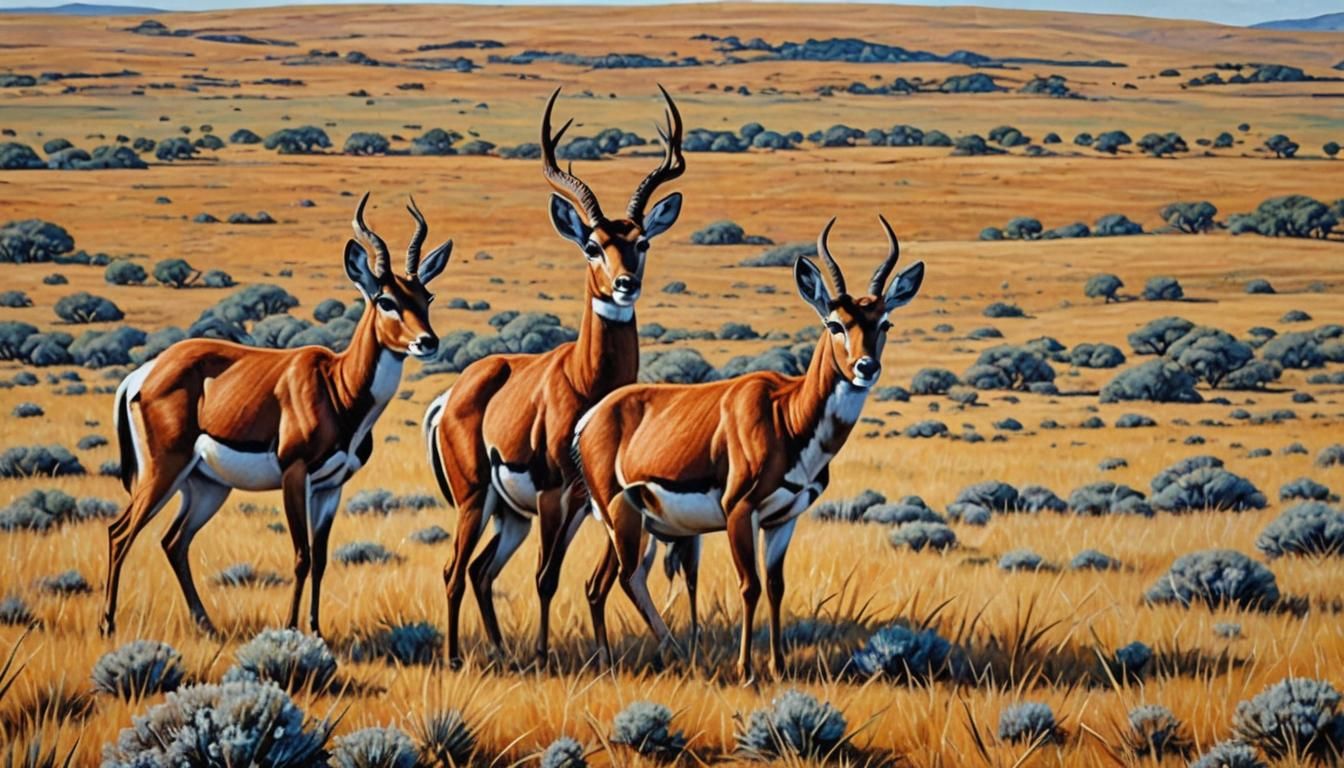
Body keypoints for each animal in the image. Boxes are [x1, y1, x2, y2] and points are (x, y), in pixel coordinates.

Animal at [101, 194, 452, 637]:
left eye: (427, 298)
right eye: (385, 300)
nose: (428, 342)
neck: (337, 385)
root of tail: (143, 373)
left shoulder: (331, 487)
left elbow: (321, 559)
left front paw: (316, 630)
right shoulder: (294, 474)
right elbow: (301, 555)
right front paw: (291, 629)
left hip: (206, 486)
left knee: (173, 541)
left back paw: (207, 625)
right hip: (163, 471)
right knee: (120, 533)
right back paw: (108, 625)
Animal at [423, 86, 685, 667]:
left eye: (642, 242)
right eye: (592, 244)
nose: (625, 284)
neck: (589, 384)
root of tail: (450, 398)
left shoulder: (590, 501)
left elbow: (596, 577)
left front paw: (599, 656)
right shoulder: (552, 493)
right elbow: (547, 578)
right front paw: (546, 656)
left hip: (510, 515)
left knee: (480, 570)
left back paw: (501, 651)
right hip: (476, 499)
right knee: (453, 571)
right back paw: (456, 656)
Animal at [574, 218, 924, 681]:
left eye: (884, 323)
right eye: (835, 323)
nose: (866, 367)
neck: (787, 415)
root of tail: (591, 417)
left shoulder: (783, 519)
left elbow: (775, 587)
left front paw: (777, 666)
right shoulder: (740, 511)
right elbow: (750, 585)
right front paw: (746, 669)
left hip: (630, 523)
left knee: (598, 584)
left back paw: (608, 662)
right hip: (622, 516)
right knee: (628, 578)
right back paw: (675, 653)